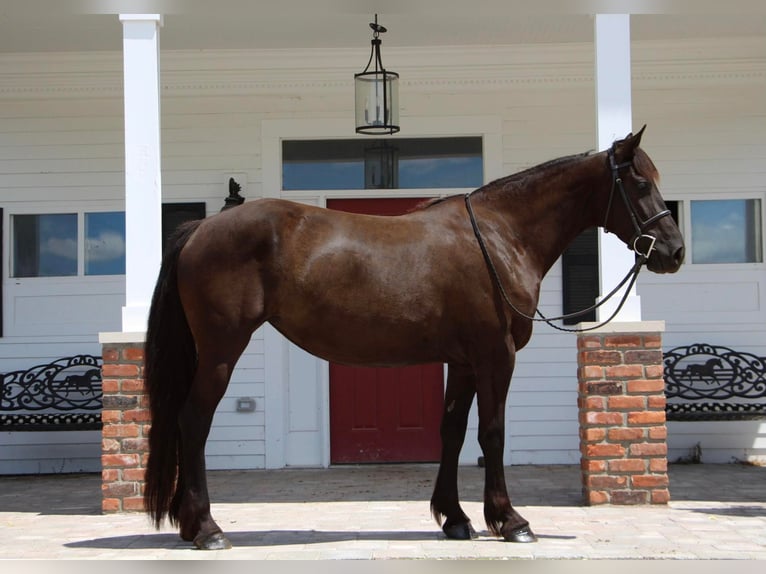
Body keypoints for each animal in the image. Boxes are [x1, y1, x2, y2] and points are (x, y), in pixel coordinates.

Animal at [142, 128, 684, 552]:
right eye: (639, 182)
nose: (674, 252)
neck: (499, 237)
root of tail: (200, 229)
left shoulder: (463, 362)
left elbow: (453, 431)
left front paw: (455, 519)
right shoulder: (496, 357)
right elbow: (492, 433)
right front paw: (510, 521)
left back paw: (191, 526)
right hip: (221, 351)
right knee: (193, 422)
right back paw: (207, 529)